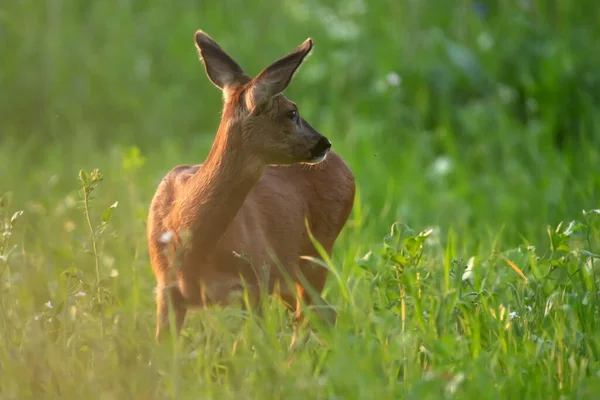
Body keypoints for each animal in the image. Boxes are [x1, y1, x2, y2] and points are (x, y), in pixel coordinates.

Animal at [147, 29, 356, 346]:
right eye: (292, 112)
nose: (324, 143)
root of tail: (346, 168)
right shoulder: (166, 291)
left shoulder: (255, 283)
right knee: (320, 313)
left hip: (316, 251)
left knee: (315, 314)